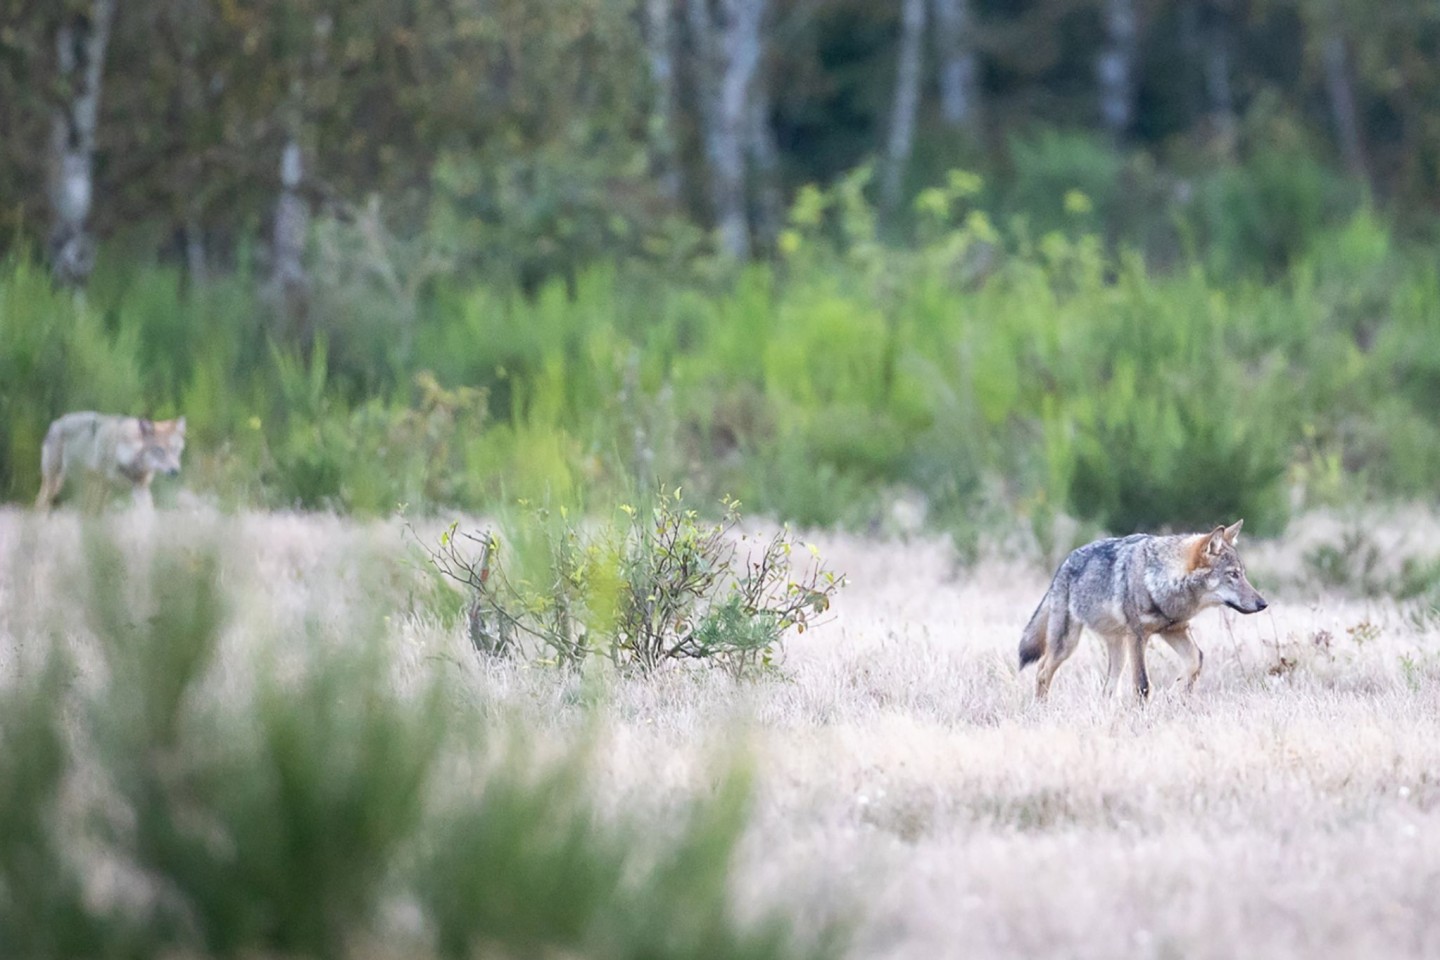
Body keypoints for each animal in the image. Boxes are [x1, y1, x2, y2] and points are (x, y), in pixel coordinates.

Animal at [35, 411, 187, 509]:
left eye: (175, 450)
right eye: (160, 451)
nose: (175, 471)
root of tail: (55, 423)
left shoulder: (140, 487)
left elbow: (148, 514)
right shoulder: (103, 484)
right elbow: (95, 511)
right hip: (55, 483)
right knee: (40, 503)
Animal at [1019, 521, 1267, 702]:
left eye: (1243, 574)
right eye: (1233, 574)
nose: (1263, 604)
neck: (1160, 580)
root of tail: (1063, 565)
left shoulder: (1175, 630)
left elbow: (1195, 661)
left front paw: (1174, 694)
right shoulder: (1138, 636)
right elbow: (1143, 685)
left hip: (1118, 650)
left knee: (1108, 687)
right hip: (1067, 645)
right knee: (1042, 671)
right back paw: (1042, 709)